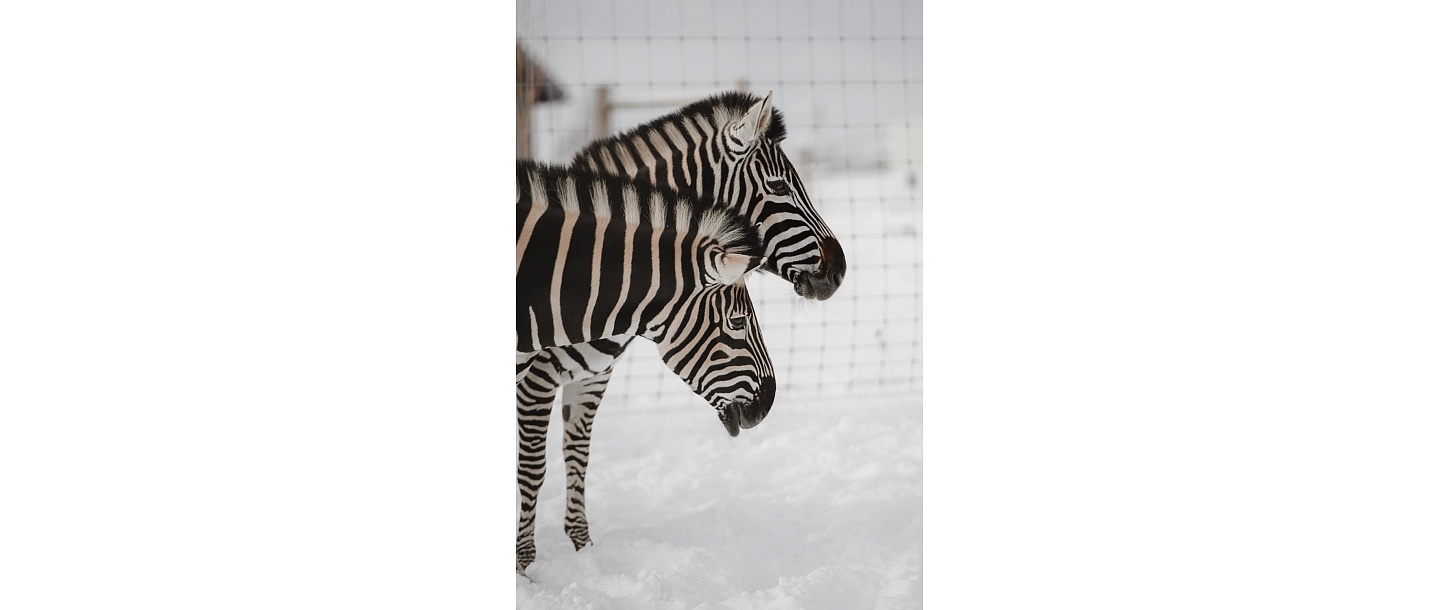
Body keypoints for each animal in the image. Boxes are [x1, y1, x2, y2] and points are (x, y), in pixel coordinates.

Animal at [515, 92, 844, 573]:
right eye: (780, 188)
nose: (839, 270)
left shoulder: (591, 377)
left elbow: (578, 455)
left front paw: (583, 552)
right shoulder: (535, 379)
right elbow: (532, 468)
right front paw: (526, 566)